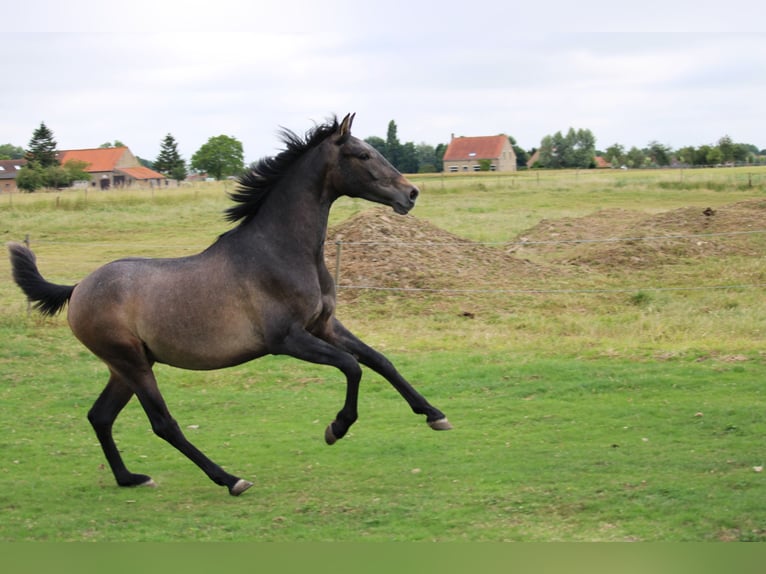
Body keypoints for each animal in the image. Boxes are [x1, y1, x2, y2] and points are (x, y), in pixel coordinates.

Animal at [7, 113, 451, 496]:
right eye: (362, 155)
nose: (411, 193)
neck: (281, 251)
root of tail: (78, 288)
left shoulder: (325, 325)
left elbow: (379, 360)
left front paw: (435, 414)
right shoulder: (288, 340)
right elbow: (352, 367)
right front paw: (336, 428)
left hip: (127, 366)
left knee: (100, 416)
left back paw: (130, 478)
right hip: (131, 363)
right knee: (163, 424)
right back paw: (230, 479)